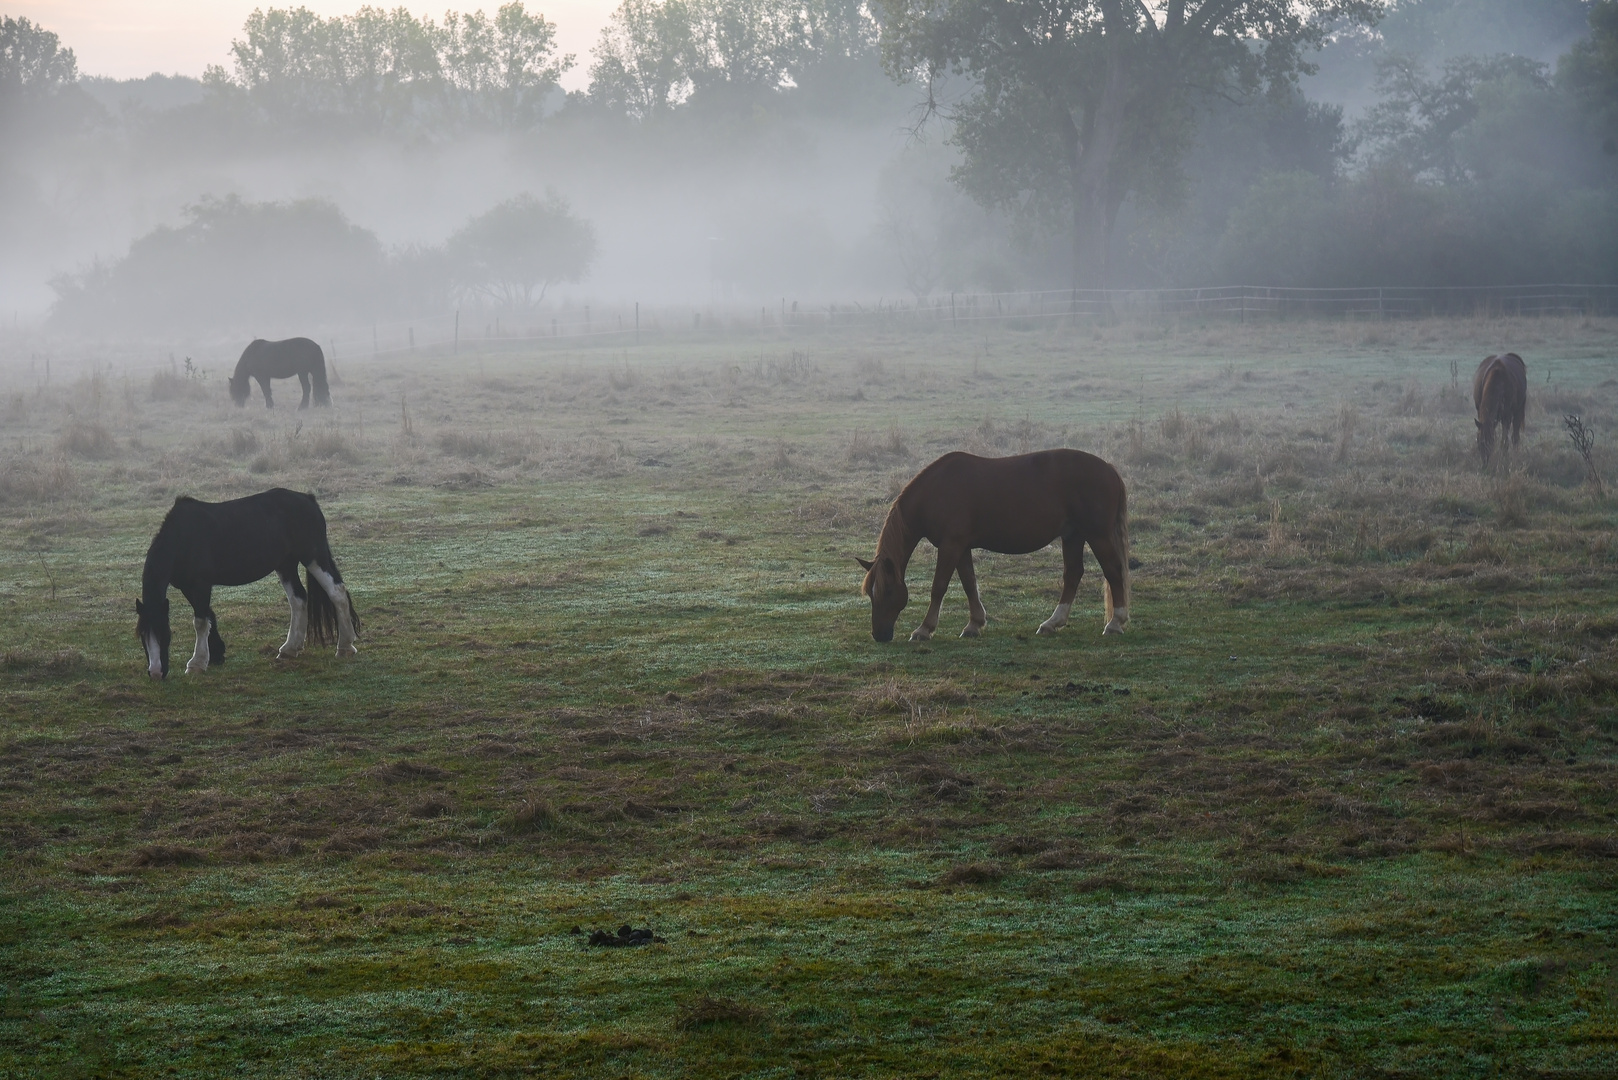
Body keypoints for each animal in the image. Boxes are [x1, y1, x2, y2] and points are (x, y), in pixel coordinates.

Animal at [135, 488, 357, 680]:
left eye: (165, 634)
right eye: (142, 636)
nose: (156, 673)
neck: (182, 537)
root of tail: (308, 499)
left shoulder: (201, 585)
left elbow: (200, 622)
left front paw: (196, 663)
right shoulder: (188, 587)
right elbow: (208, 615)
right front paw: (216, 654)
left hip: (313, 557)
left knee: (337, 592)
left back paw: (345, 647)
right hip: (286, 565)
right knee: (298, 599)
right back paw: (289, 649)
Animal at [854, 446, 1132, 641]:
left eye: (888, 591)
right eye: (870, 593)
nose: (879, 635)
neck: (936, 490)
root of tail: (1109, 468)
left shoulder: (950, 545)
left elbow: (939, 586)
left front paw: (924, 629)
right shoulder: (961, 547)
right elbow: (969, 583)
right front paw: (974, 624)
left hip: (1097, 535)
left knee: (1113, 571)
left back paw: (1115, 623)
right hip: (1073, 536)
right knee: (1073, 575)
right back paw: (1052, 623)